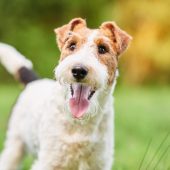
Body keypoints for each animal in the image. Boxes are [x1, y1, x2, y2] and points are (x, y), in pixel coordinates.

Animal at [0, 18, 131, 170]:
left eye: (103, 48)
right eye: (72, 45)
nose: (79, 70)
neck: (80, 122)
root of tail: (34, 81)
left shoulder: (99, 162)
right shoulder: (49, 161)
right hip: (15, 144)